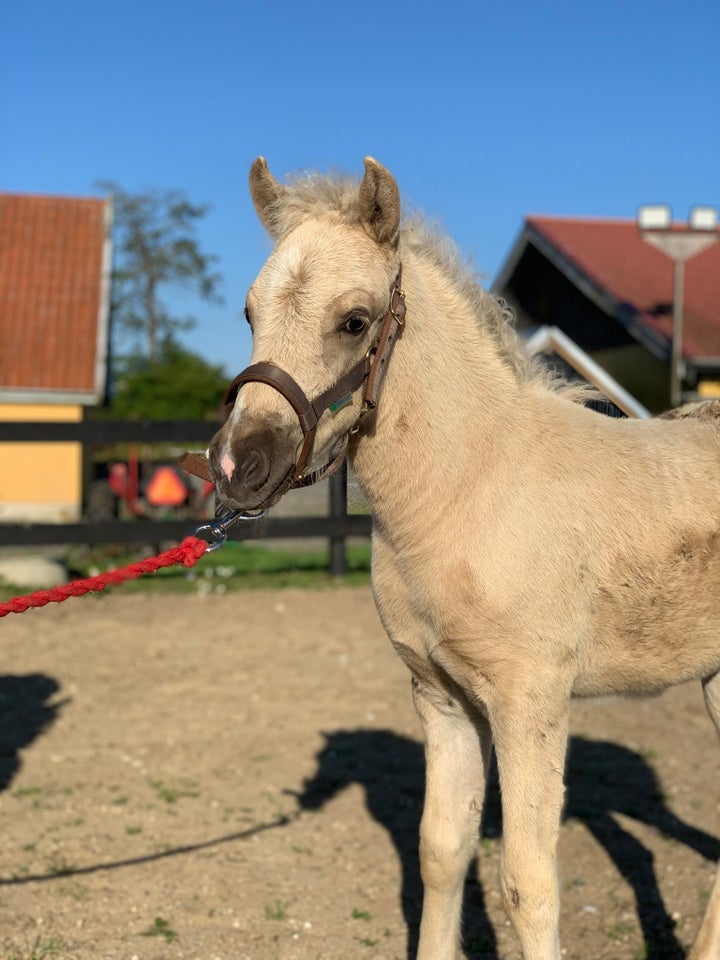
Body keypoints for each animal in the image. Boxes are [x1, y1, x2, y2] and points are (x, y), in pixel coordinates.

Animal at [204, 158, 720, 960]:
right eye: (250, 314)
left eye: (354, 321)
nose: (237, 467)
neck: (472, 488)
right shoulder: (443, 699)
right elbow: (442, 853)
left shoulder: (530, 700)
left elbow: (528, 884)